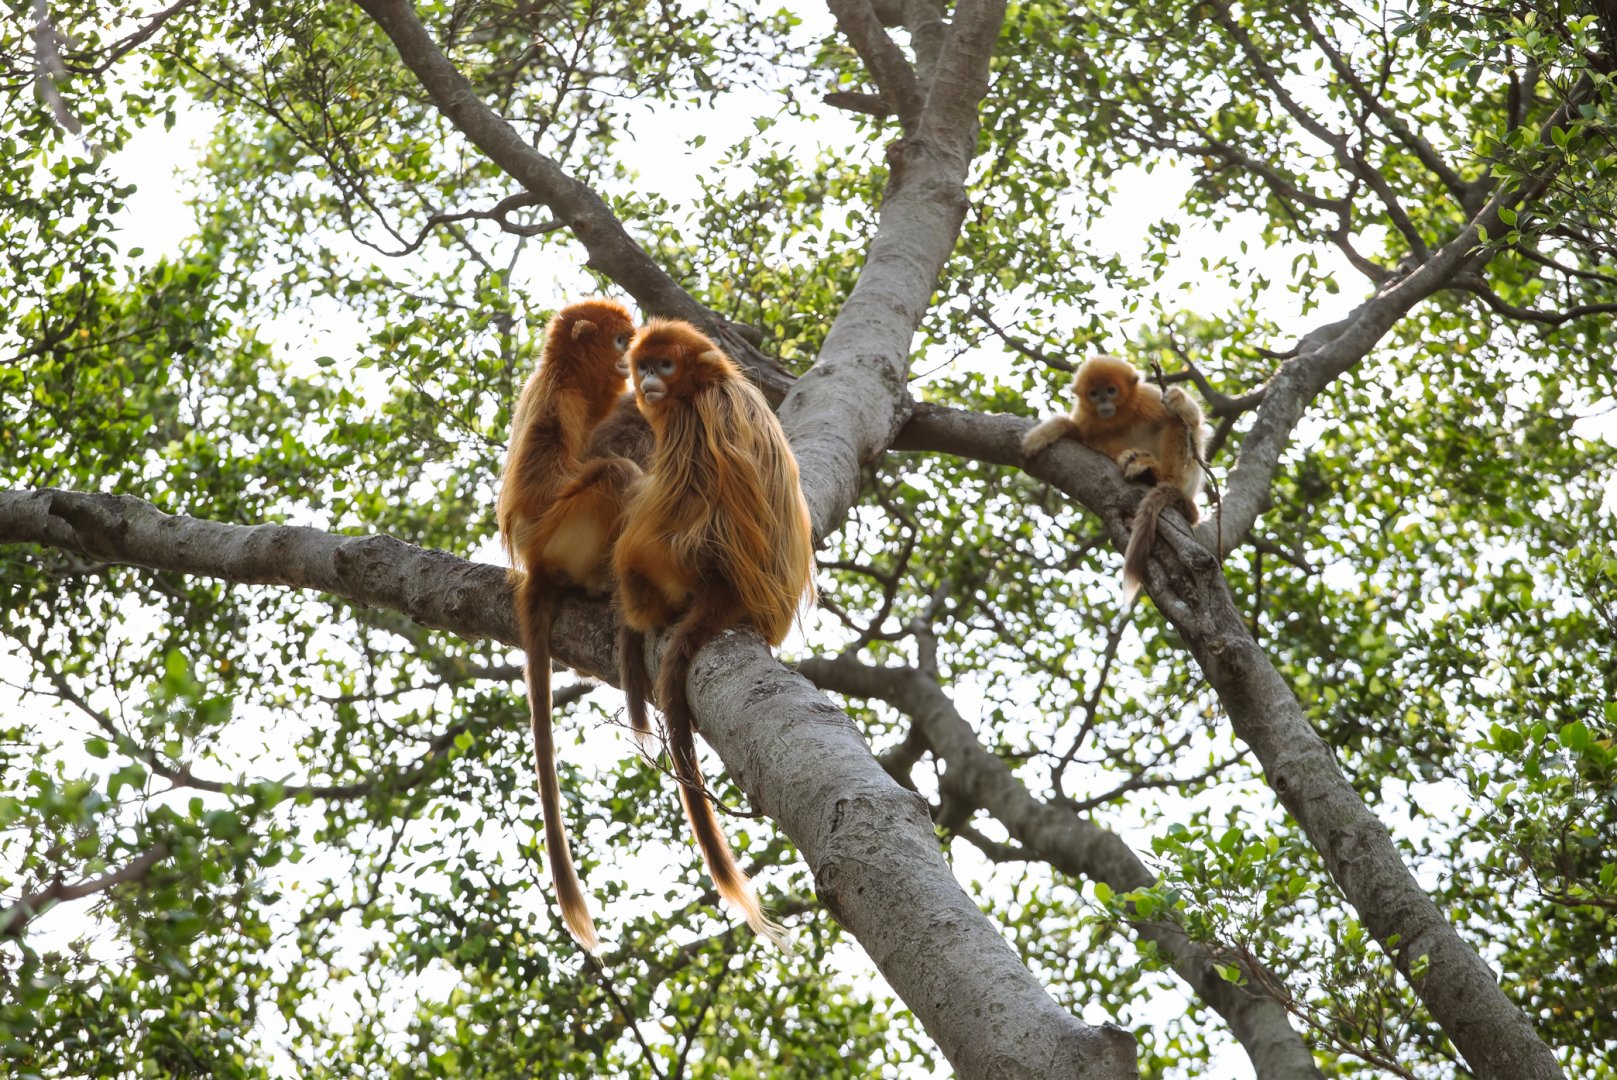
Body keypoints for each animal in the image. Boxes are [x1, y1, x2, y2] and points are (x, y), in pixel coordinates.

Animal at [611, 319, 815, 948]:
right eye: (644, 364)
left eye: (665, 365)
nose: (649, 380)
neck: (708, 384)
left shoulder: (694, 419)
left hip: (693, 561)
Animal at [1022, 355, 1208, 603]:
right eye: (1094, 393)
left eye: (1111, 391)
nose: (1103, 402)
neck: (1120, 417)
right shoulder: (1087, 420)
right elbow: (1077, 432)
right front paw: (1049, 431)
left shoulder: (1148, 398)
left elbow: (1193, 420)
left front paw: (1177, 399)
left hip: (1187, 479)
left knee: (1177, 424)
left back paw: (1157, 474)